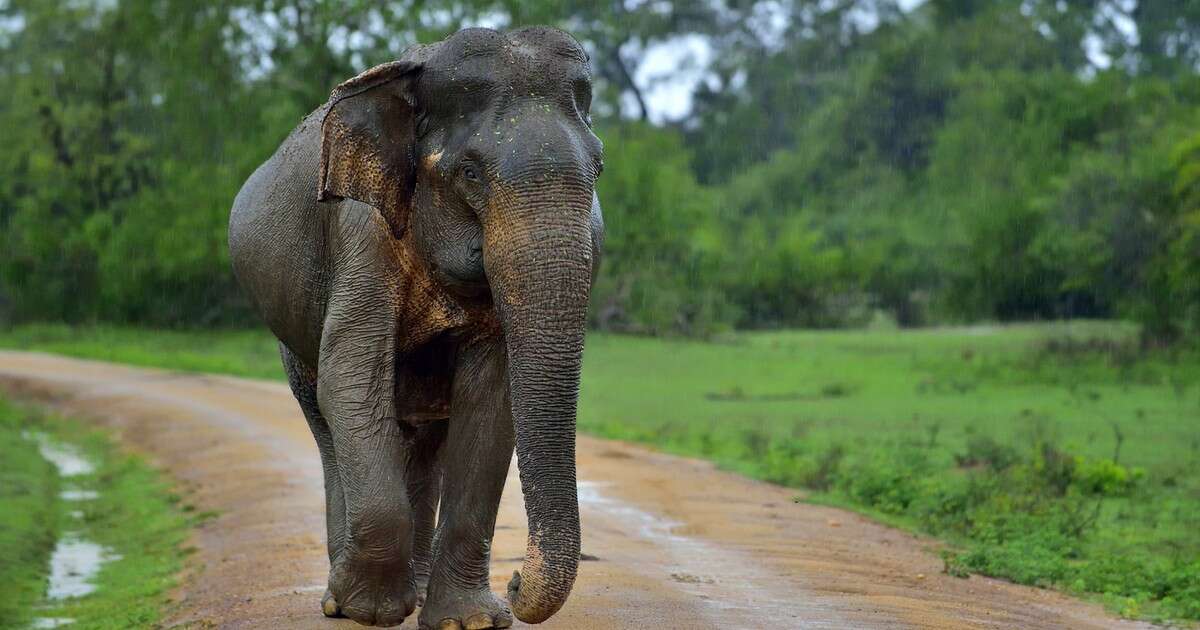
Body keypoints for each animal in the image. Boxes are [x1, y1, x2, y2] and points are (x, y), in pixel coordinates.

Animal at [226, 25, 600, 628]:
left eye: (599, 170)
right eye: (469, 172)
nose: (516, 583)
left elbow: (490, 401)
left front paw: (468, 620)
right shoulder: (361, 228)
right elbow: (351, 378)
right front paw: (371, 610)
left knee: (425, 442)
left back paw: (418, 592)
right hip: (291, 340)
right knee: (327, 419)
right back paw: (339, 600)